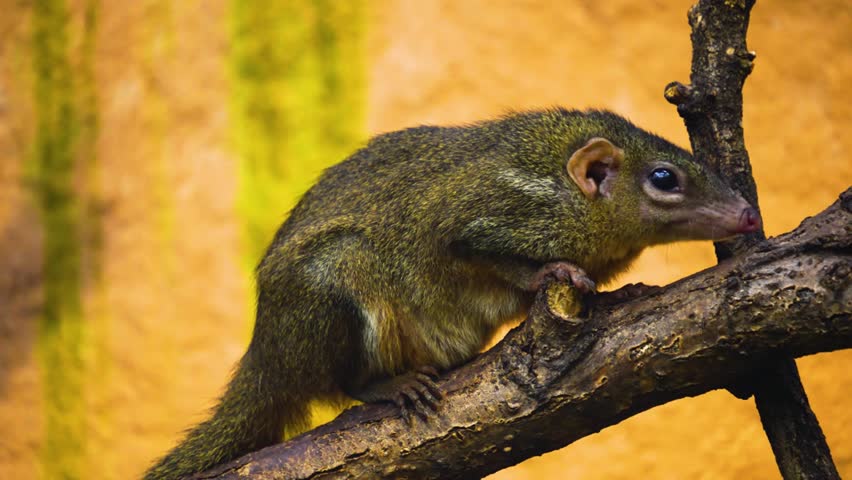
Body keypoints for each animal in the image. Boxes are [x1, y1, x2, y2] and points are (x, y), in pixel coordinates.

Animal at [144, 108, 761, 479]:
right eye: (664, 179)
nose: (748, 214)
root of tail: (267, 351)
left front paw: (620, 292)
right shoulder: (484, 219)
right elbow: (498, 261)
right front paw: (554, 272)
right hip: (336, 276)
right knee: (341, 382)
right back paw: (392, 386)